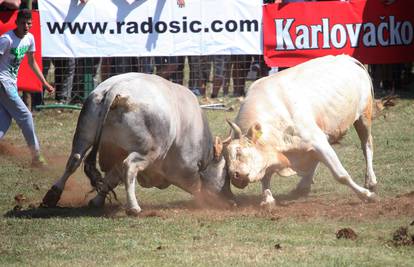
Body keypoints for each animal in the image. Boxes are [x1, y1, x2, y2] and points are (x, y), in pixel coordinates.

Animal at [42, 73, 233, 216]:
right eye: (226, 174)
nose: (230, 198)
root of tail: (116, 90)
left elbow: (111, 179)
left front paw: (97, 201)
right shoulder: (185, 168)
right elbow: (196, 185)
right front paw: (207, 201)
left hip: (84, 135)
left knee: (74, 160)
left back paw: (53, 195)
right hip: (148, 151)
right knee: (130, 167)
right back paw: (133, 207)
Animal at [225, 54, 376, 205]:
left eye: (239, 152)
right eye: (226, 158)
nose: (234, 177)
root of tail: (348, 58)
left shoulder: (318, 141)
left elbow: (341, 175)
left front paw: (366, 195)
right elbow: (266, 175)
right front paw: (267, 198)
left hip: (363, 116)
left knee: (367, 145)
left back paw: (371, 181)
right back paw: (303, 185)